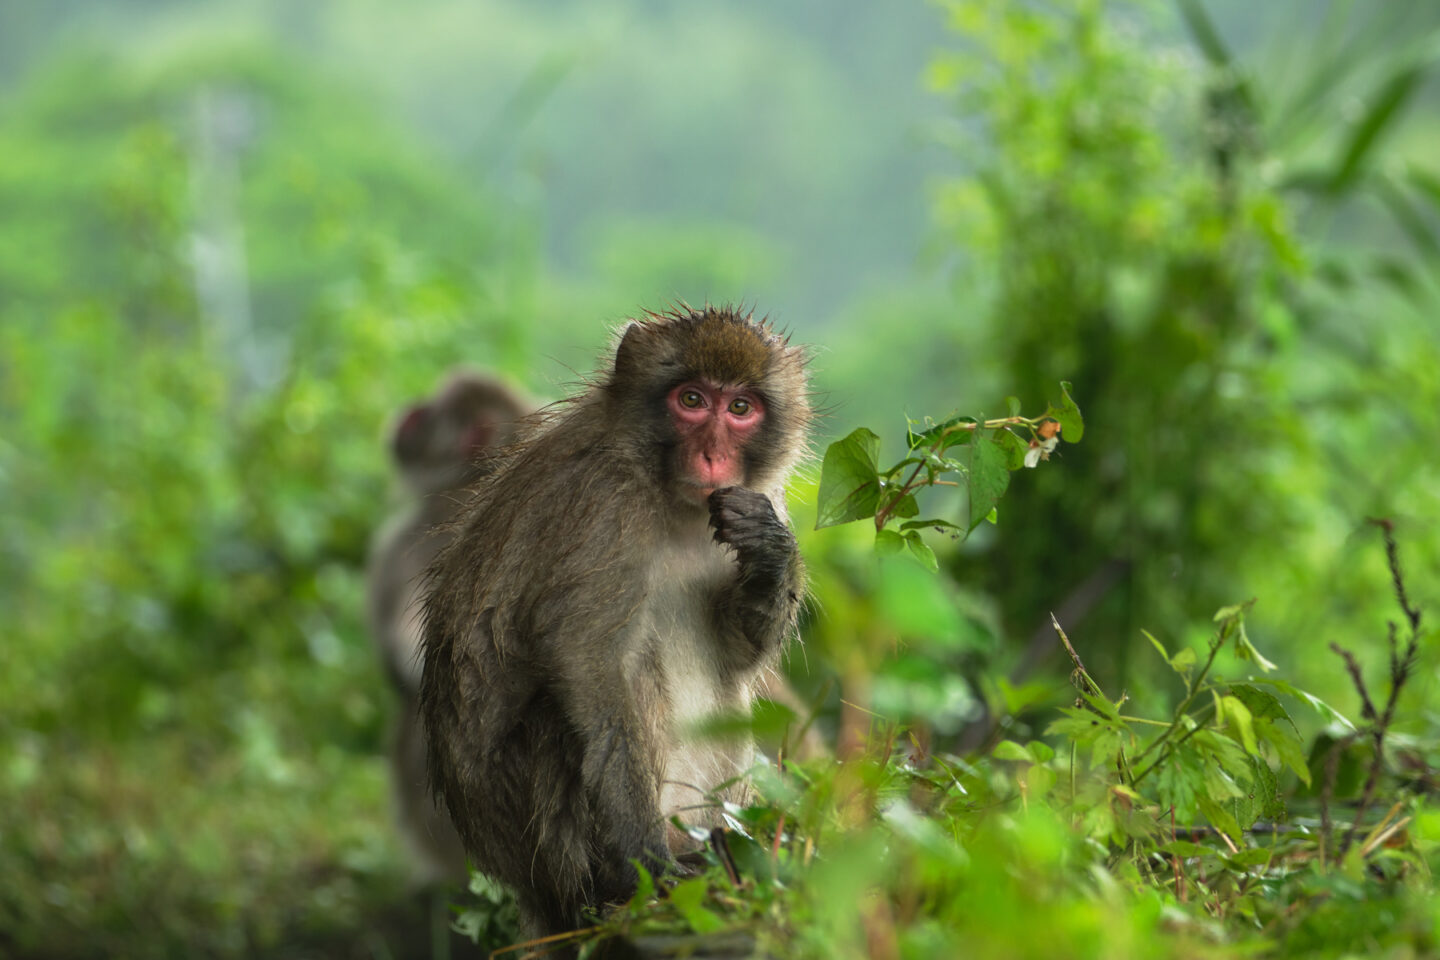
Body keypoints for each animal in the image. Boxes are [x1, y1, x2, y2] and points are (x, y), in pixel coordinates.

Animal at [420, 308, 817, 938]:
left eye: (740, 408)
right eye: (691, 399)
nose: (712, 456)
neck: (668, 496)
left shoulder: (759, 496)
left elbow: (737, 649)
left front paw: (771, 553)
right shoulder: (605, 510)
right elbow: (587, 661)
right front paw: (645, 861)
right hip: (541, 846)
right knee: (599, 695)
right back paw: (623, 881)